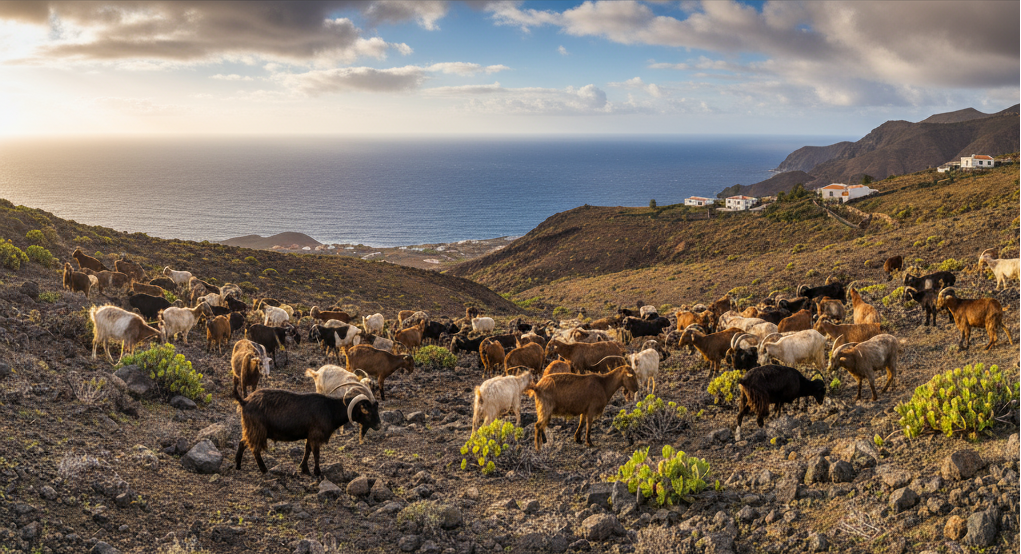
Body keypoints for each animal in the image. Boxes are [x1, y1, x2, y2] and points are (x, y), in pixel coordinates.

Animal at [233, 385, 380, 476]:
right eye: (366, 409)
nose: (378, 425)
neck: (331, 409)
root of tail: (244, 401)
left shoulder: (310, 434)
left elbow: (307, 450)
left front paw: (304, 469)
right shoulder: (316, 434)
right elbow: (316, 453)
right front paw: (318, 472)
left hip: (251, 429)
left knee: (242, 442)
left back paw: (238, 465)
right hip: (257, 429)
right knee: (254, 449)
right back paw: (264, 469)